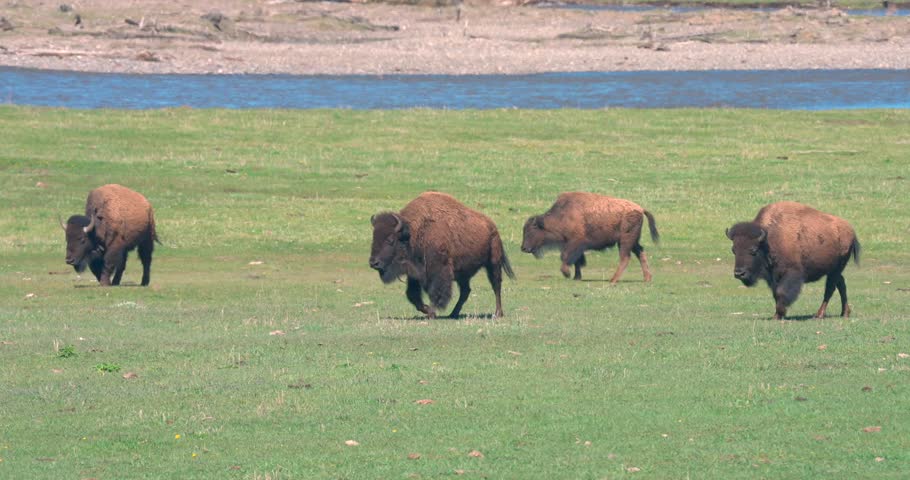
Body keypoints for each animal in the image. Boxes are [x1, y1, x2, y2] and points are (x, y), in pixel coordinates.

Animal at [369, 192, 515, 319]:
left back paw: (497, 313)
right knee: (466, 291)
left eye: (390, 240)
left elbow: (436, 293)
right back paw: (453, 314)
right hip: (463, 274)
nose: (373, 263)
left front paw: (431, 313)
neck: (413, 232)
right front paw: (427, 310)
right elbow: (413, 295)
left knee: (496, 286)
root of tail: (493, 227)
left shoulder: (439, 271)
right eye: (374, 238)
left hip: (493, 263)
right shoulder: (415, 273)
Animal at [521, 192, 659, 283]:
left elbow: (566, 257)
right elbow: (577, 261)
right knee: (640, 253)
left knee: (625, 258)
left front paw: (567, 274)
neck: (563, 215)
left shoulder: (574, 243)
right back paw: (647, 278)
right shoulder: (574, 246)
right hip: (632, 241)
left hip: (625, 241)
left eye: (531, 230)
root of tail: (640, 209)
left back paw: (613, 280)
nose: (523, 248)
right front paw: (576, 277)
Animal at [727, 201, 860, 320]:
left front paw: (779, 314)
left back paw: (819, 315)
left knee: (830, 289)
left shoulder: (791, 273)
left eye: (753, 250)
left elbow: (781, 292)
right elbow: (776, 294)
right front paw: (777, 315)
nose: (739, 273)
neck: (768, 240)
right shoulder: (774, 277)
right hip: (833, 270)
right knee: (841, 284)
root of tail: (851, 231)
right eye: (733, 250)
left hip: (836, 269)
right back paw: (845, 313)